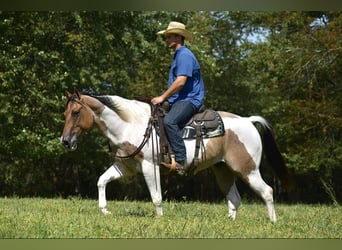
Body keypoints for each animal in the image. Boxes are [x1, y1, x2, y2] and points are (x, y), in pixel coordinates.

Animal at [60, 90, 294, 223]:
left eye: (75, 112)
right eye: (65, 113)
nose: (65, 141)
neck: (130, 124)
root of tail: (248, 120)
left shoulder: (149, 166)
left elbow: (156, 196)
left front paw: (159, 218)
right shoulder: (125, 167)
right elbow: (102, 181)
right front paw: (105, 210)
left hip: (248, 170)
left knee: (267, 191)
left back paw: (273, 222)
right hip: (223, 171)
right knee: (234, 198)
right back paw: (231, 222)